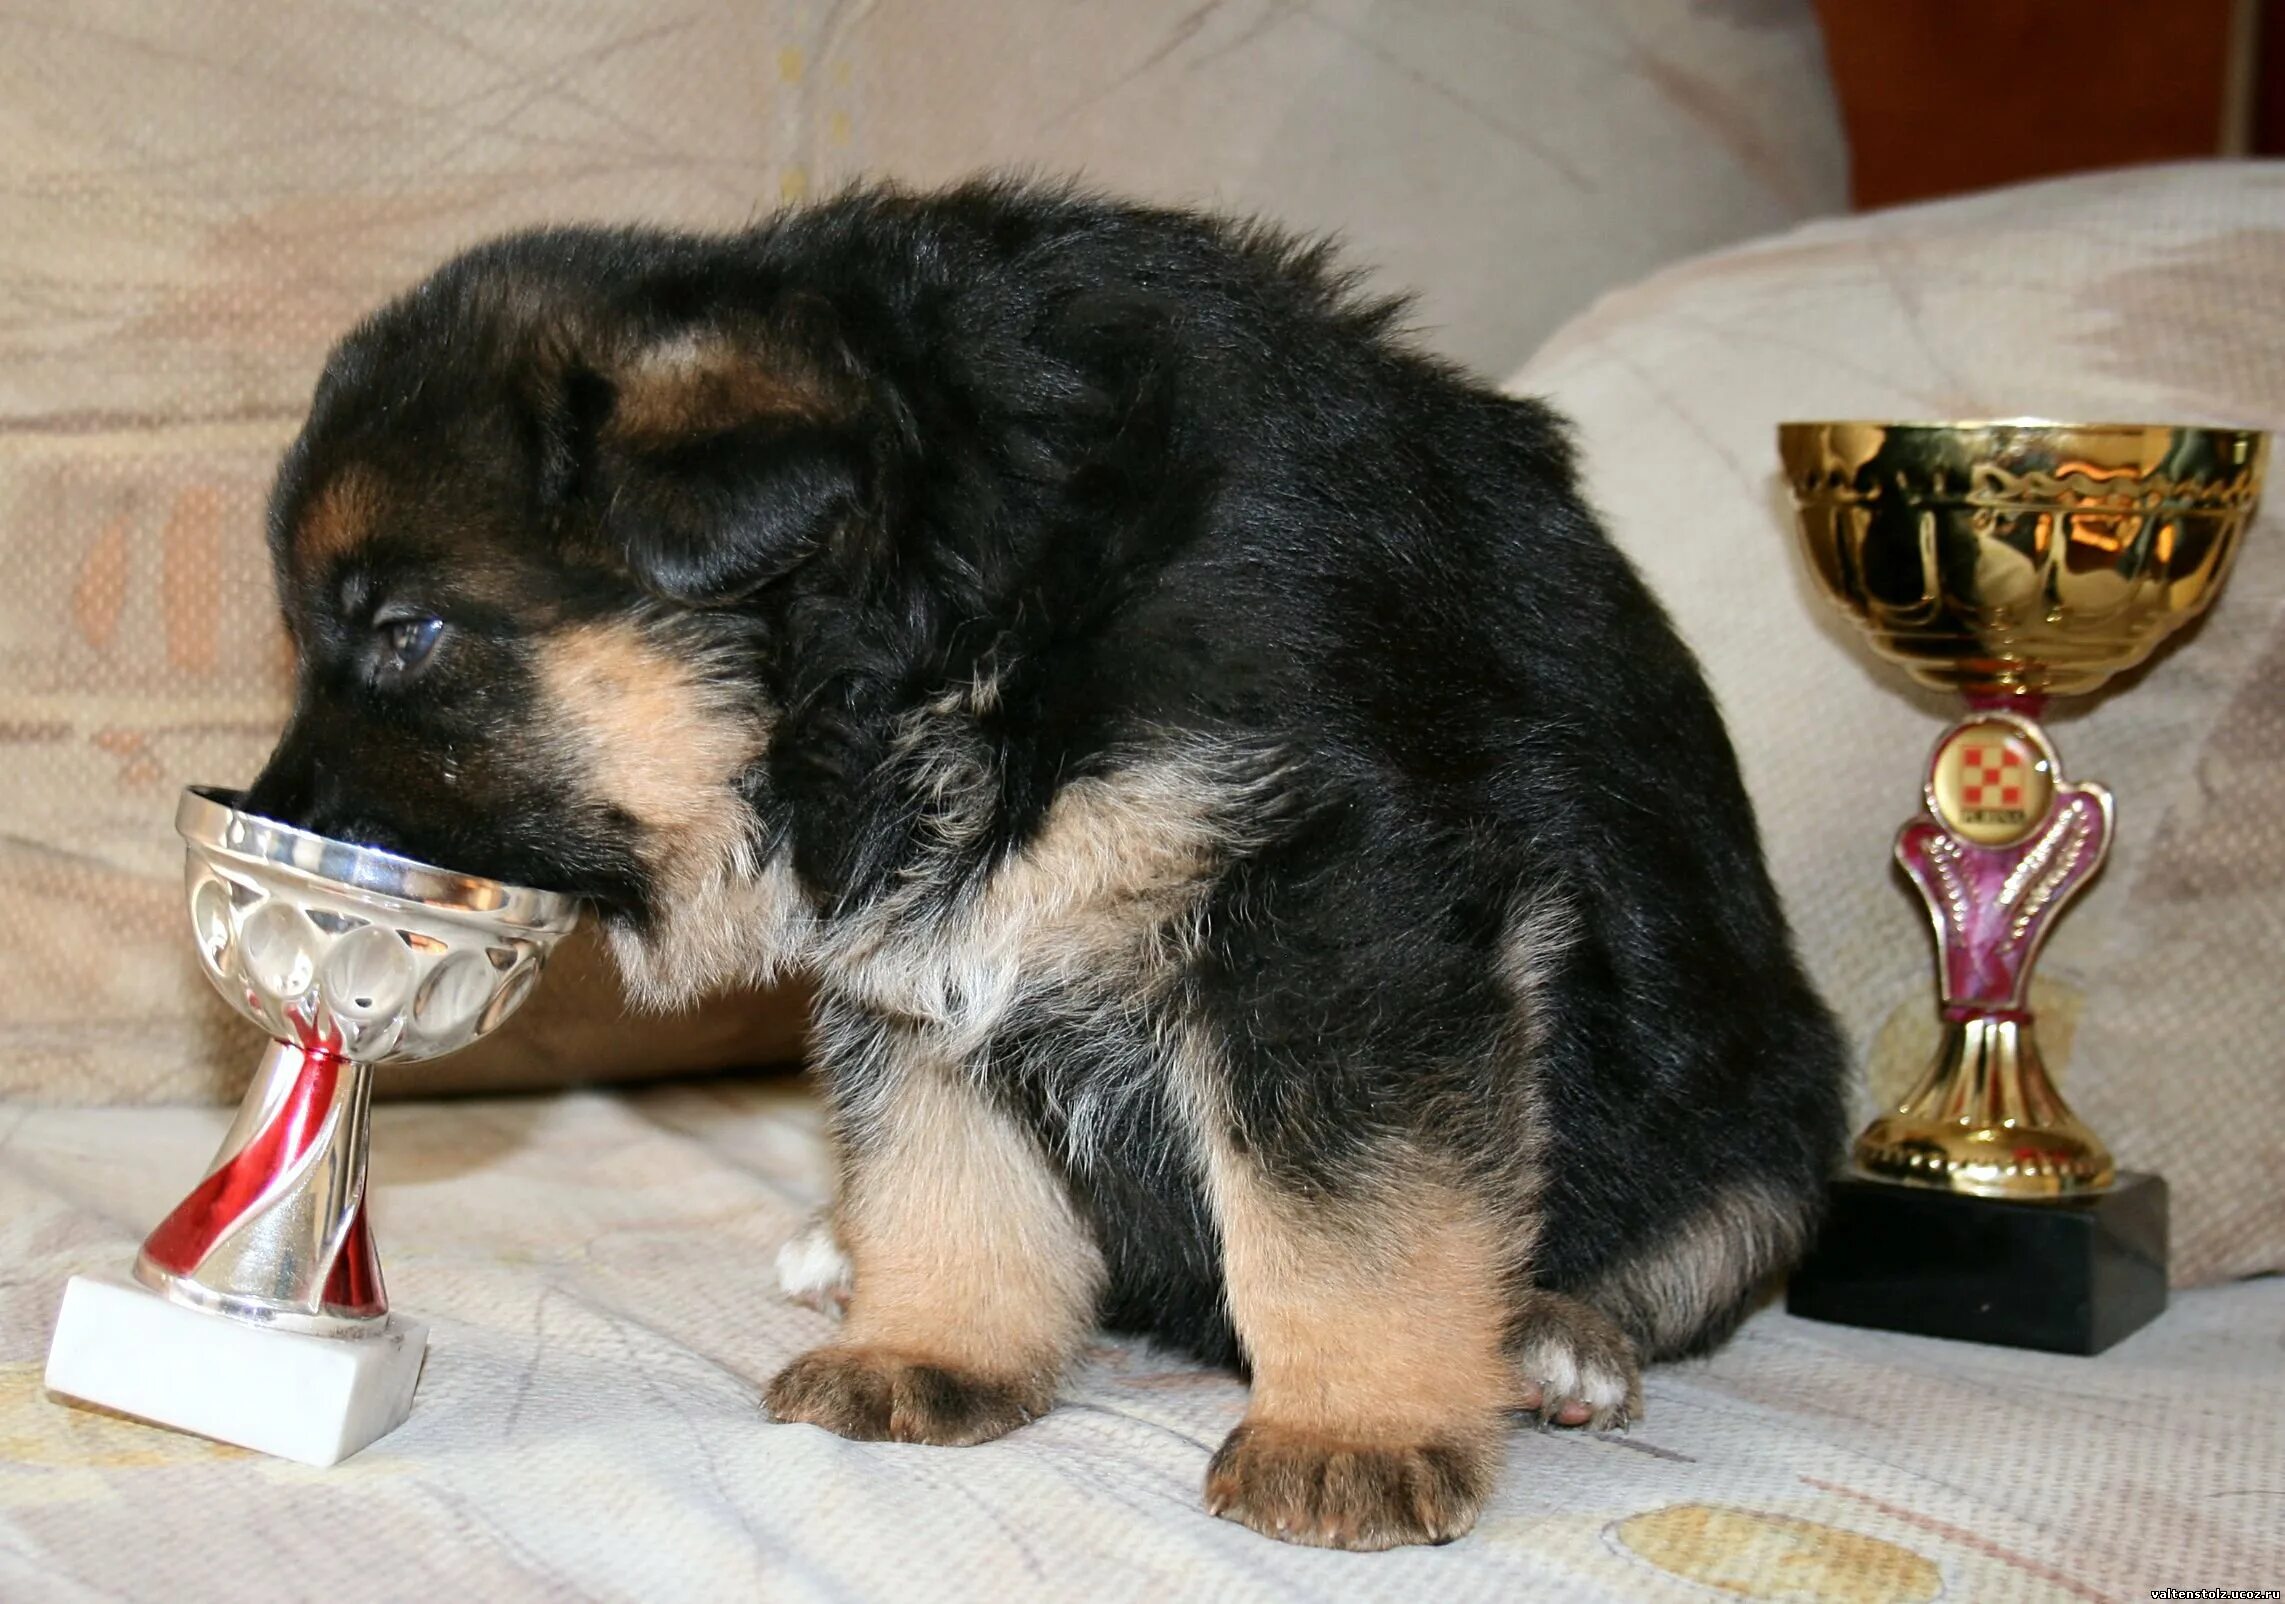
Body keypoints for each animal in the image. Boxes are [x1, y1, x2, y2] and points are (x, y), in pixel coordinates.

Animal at [245, 182, 1855, 1553]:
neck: (971, 617)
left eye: (403, 632)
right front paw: (927, 1348)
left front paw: (1353, 1432)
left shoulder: (1335, 917)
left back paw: (1560, 1338)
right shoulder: (926, 953)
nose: (270, 825)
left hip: (1773, 1127)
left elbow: (1343, 1214)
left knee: (1684, 1250)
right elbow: (944, 1169)